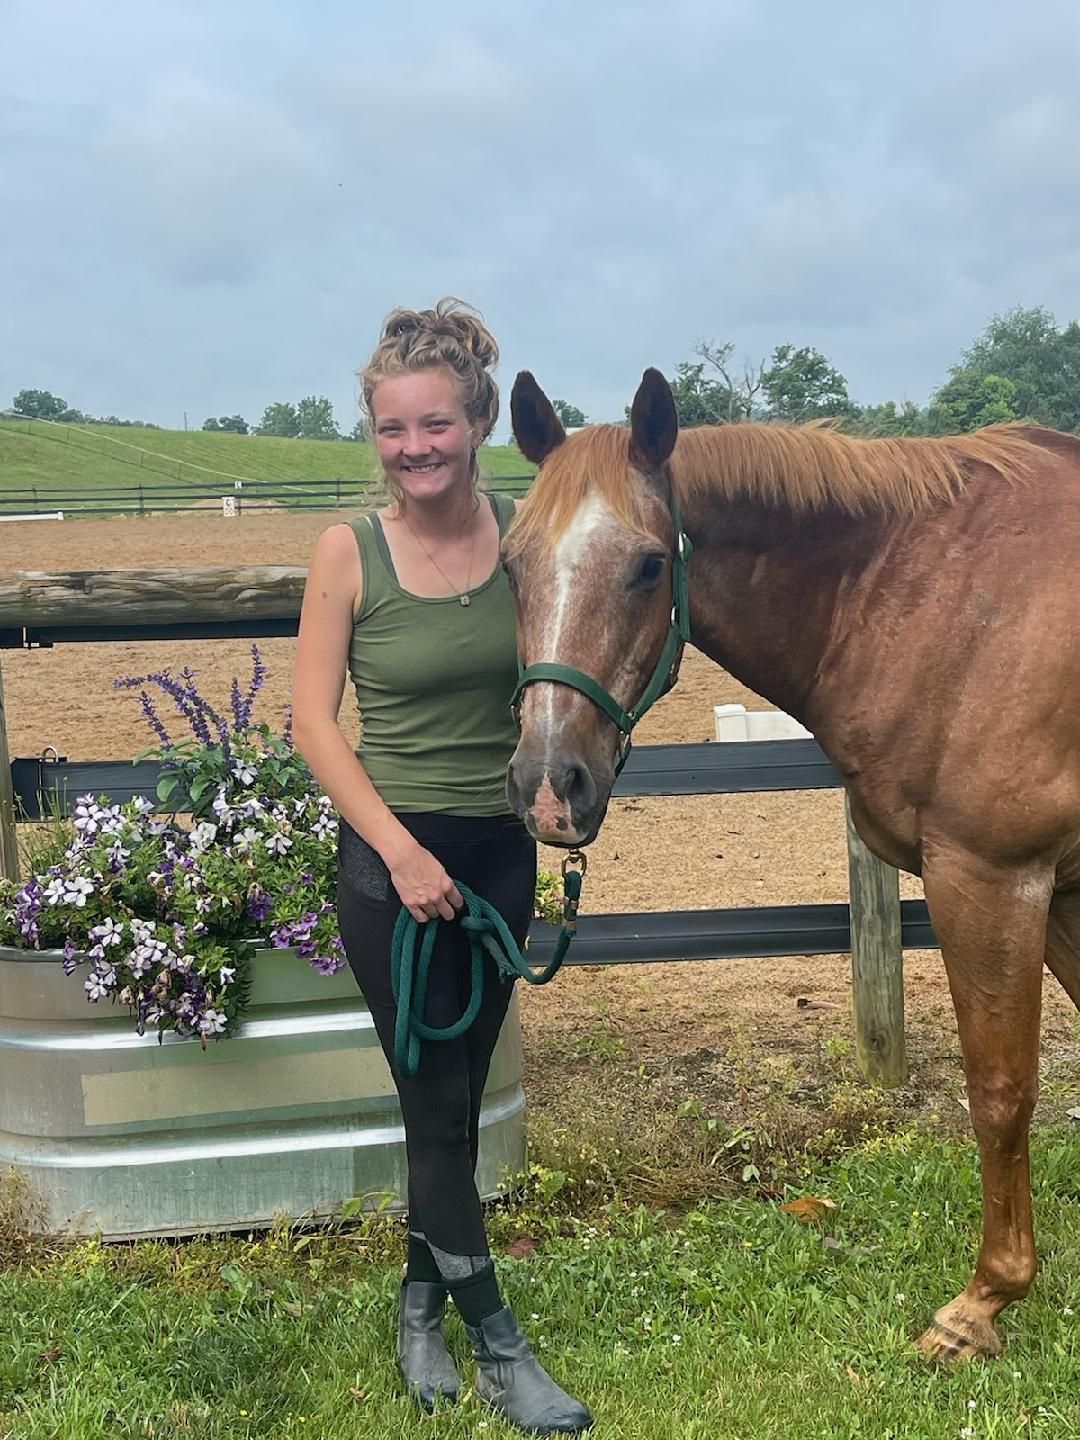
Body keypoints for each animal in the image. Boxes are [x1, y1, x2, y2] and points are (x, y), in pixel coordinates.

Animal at [501, 366, 1080, 1361]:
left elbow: (1001, 1091)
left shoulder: (996, 878)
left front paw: (983, 1304)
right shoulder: (1067, 886)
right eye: (510, 562)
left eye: (649, 565)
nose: (549, 786)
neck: (947, 597)